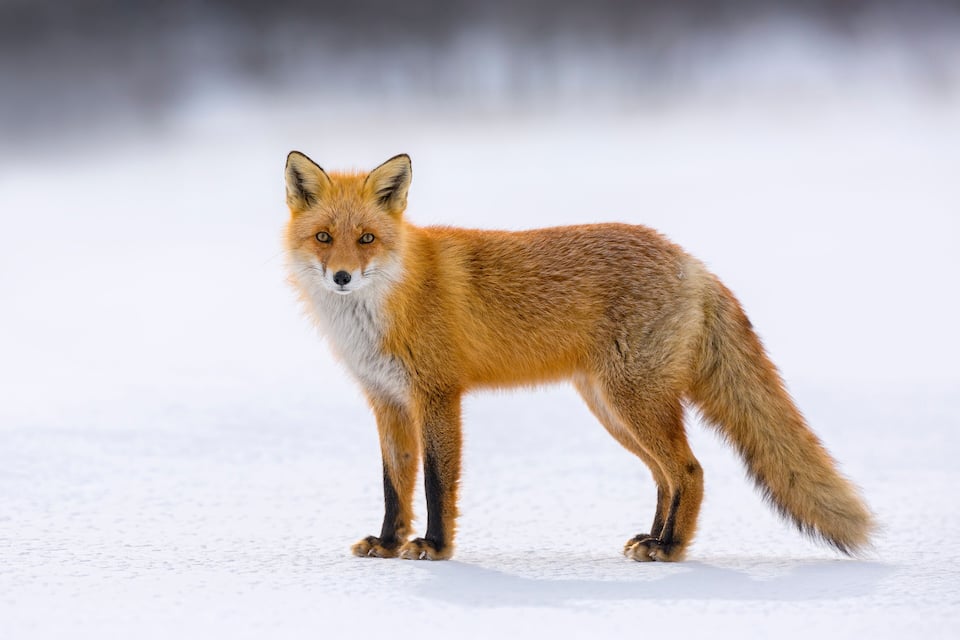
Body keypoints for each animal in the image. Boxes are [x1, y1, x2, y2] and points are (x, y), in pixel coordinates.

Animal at [282, 151, 874, 562]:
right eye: (324, 237)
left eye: (366, 239)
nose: (341, 277)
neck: (386, 305)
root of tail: (690, 260)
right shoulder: (385, 399)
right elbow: (394, 484)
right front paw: (387, 545)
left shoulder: (437, 395)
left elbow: (434, 482)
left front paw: (435, 547)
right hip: (613, 410)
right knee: (667, 477)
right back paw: (654, 537)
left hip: (632, 402)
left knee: (691, 469)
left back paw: (670, 549)